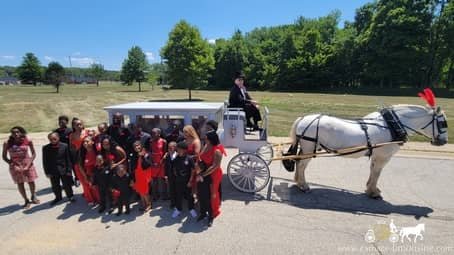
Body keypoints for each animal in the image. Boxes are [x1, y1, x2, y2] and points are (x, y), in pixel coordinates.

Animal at [288, 102, 446, 198]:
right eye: (442, 123)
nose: (443, 141)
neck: (391, 125)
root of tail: (303, 118)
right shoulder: (383, 156)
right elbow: (377, 173)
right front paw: (374, 192)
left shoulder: (376, 155)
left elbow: (373, 171)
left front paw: (370, 188)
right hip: (309, 148)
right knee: (301, 165)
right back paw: (303, 185)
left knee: (298, 162)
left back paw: (298, 181)